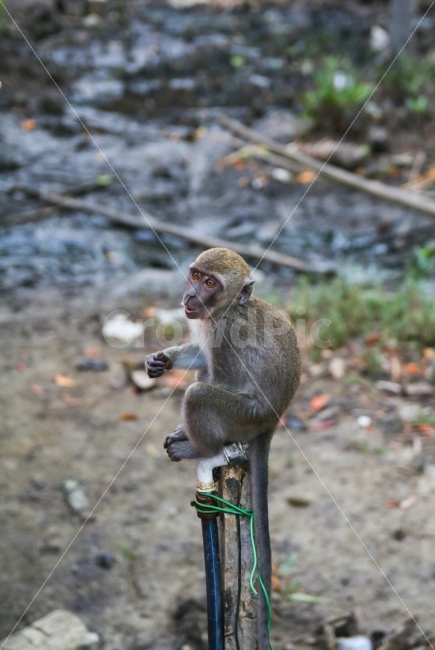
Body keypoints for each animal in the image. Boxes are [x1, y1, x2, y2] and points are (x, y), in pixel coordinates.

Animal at [146, 248, 301, 650]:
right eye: (195, 275)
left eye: (210, 283)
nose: (190, 295)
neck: (228, 309)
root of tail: (272, 421)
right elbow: (201, 356)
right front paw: (163, 358)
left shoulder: (226, 336)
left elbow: (223, 380)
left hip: (243, 418)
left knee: (200, 393)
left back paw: (198, 446)